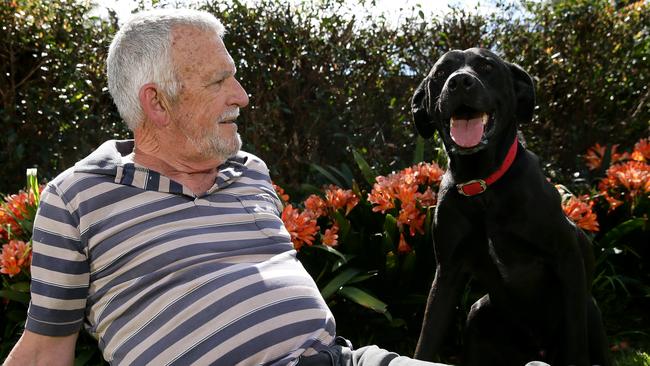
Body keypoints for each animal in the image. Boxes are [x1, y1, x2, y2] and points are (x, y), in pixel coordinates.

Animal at [410, 48, 608, 366]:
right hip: (477, 314)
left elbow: (576, 344)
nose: (459, 82)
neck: (483, 185)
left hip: (592, 314)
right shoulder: (447, 271)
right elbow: (426, 340)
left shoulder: (567, 259)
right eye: (440, 73)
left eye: (487, 67)